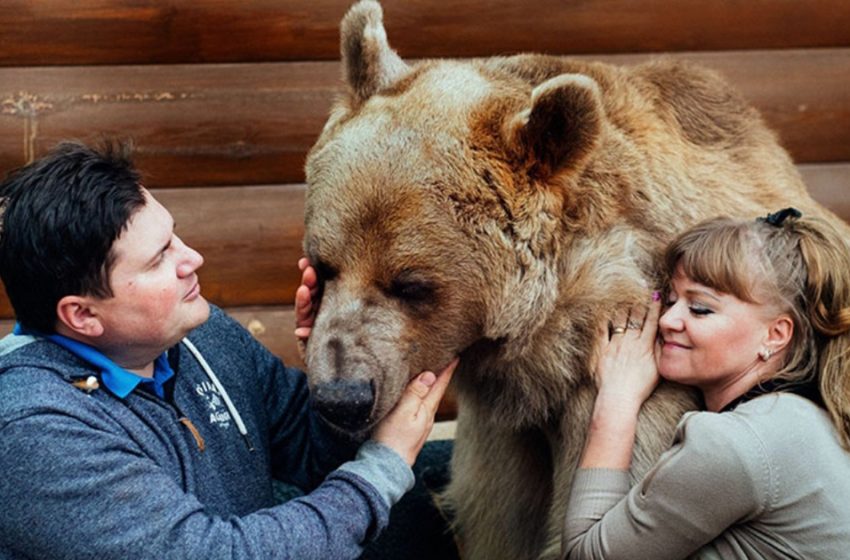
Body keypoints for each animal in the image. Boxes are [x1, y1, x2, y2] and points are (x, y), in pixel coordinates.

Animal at [300, 2, 848, 556]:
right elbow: (500, 518)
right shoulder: (505, 431)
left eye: (411, 284)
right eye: (322, 266)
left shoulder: (637, 387)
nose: (342, 397)